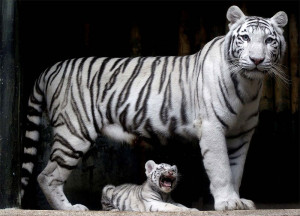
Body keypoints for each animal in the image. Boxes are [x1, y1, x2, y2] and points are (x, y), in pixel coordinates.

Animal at [19, 5, 288, 211]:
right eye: (245, 38)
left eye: (269, 40)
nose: (256, 60)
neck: (248, 84)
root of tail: (50, 68)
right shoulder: (212, 127)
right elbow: (221, 168)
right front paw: (228, 203)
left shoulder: (241, 135)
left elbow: (236, 170)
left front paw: (238, 200)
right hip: (74, 132)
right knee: (47, 175)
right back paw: (70, 208)